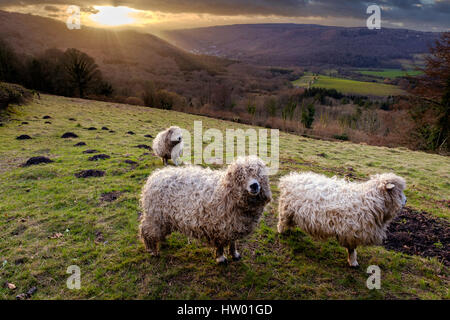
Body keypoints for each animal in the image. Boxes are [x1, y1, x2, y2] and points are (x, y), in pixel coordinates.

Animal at [139, 156, 270, 264]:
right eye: (240, 176)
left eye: (259, 174)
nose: (254, 185)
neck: (226, 192)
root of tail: (154, 176)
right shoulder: (218, 226)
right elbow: (220, 244)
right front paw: (221, 258)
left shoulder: (232, 225)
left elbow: (233, 241)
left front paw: (235, 254)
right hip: (155, 216)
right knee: (146, 229)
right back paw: (152, 250)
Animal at [278, 172, 408, 268]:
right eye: (399, 193)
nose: (406, 201)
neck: (370, 200)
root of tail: (289, 178)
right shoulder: (351, 231)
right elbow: (352, 249)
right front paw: (353, 262)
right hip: (286, 209)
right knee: (281, 222)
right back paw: (281, 232)